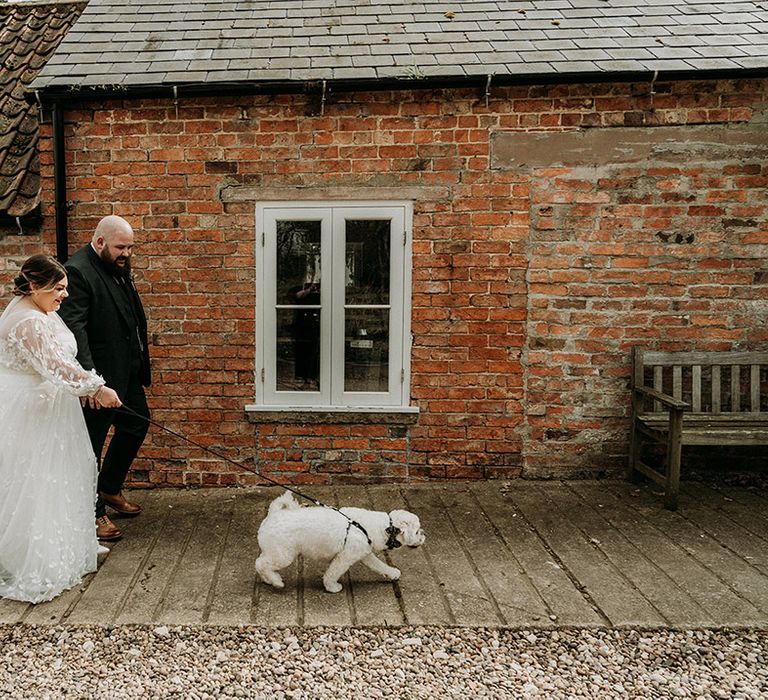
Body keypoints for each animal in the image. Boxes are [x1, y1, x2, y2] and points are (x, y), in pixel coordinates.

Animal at [256, 492, 426, 592]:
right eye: (417, 531)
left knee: (261, 563)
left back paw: (268, 579)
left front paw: (392, 573)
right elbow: (332, 573)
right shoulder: (344, 558)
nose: (424, 534)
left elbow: (379, 565)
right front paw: (332, 587)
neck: (379, 527)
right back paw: (276, 581)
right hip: (283, 555)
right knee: (261, 564)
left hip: (274, 552)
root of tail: (273, 514)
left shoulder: (365, 554)